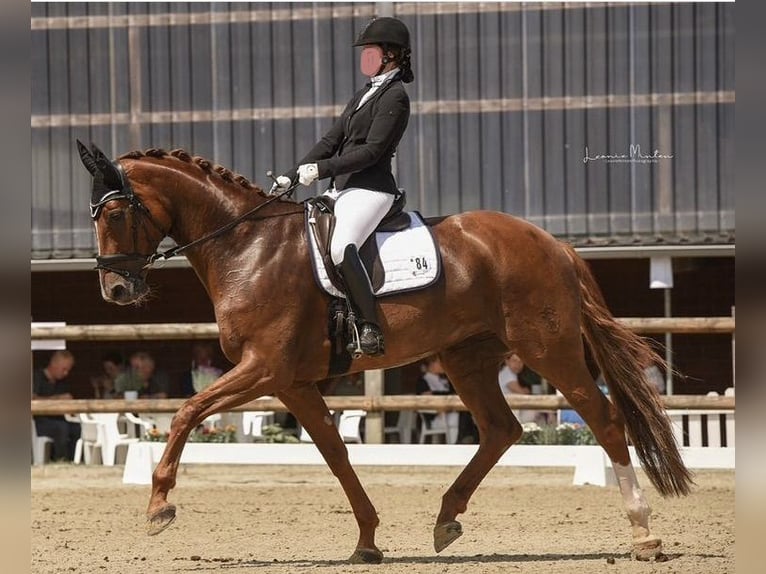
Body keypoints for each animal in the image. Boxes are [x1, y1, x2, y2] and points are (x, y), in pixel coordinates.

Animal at [77, 141, 692, 563]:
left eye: (115, 214)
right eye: (93, 215)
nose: (116, 291)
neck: (247, 247)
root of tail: (554, 244)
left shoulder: (263, 369)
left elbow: (186, 411)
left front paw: (159, 507)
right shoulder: (292, 383)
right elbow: (335, 455)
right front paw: (368, 541)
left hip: (549, 348)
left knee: (605, 421)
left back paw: (644, 534)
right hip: (467, 356)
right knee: (502, 429)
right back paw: (446, 519)